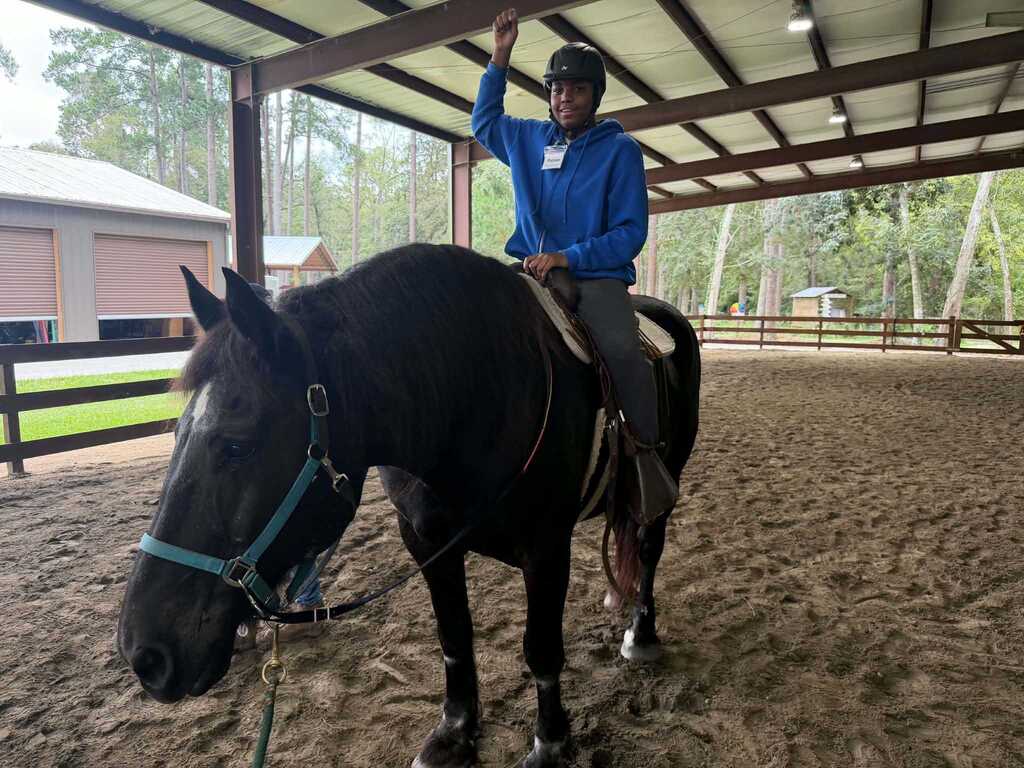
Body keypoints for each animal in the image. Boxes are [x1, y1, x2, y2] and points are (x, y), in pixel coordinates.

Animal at [117, 243, 699, 768]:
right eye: (176, 434)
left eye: (237, 445)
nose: (143, 653)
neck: (476, 395)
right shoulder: (427, 543)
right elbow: (453, 636)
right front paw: (454, 734)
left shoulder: (546, 550)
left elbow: (541, 649)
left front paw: (550, 744)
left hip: (666, 486)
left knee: (648, 548)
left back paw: (641, 633)